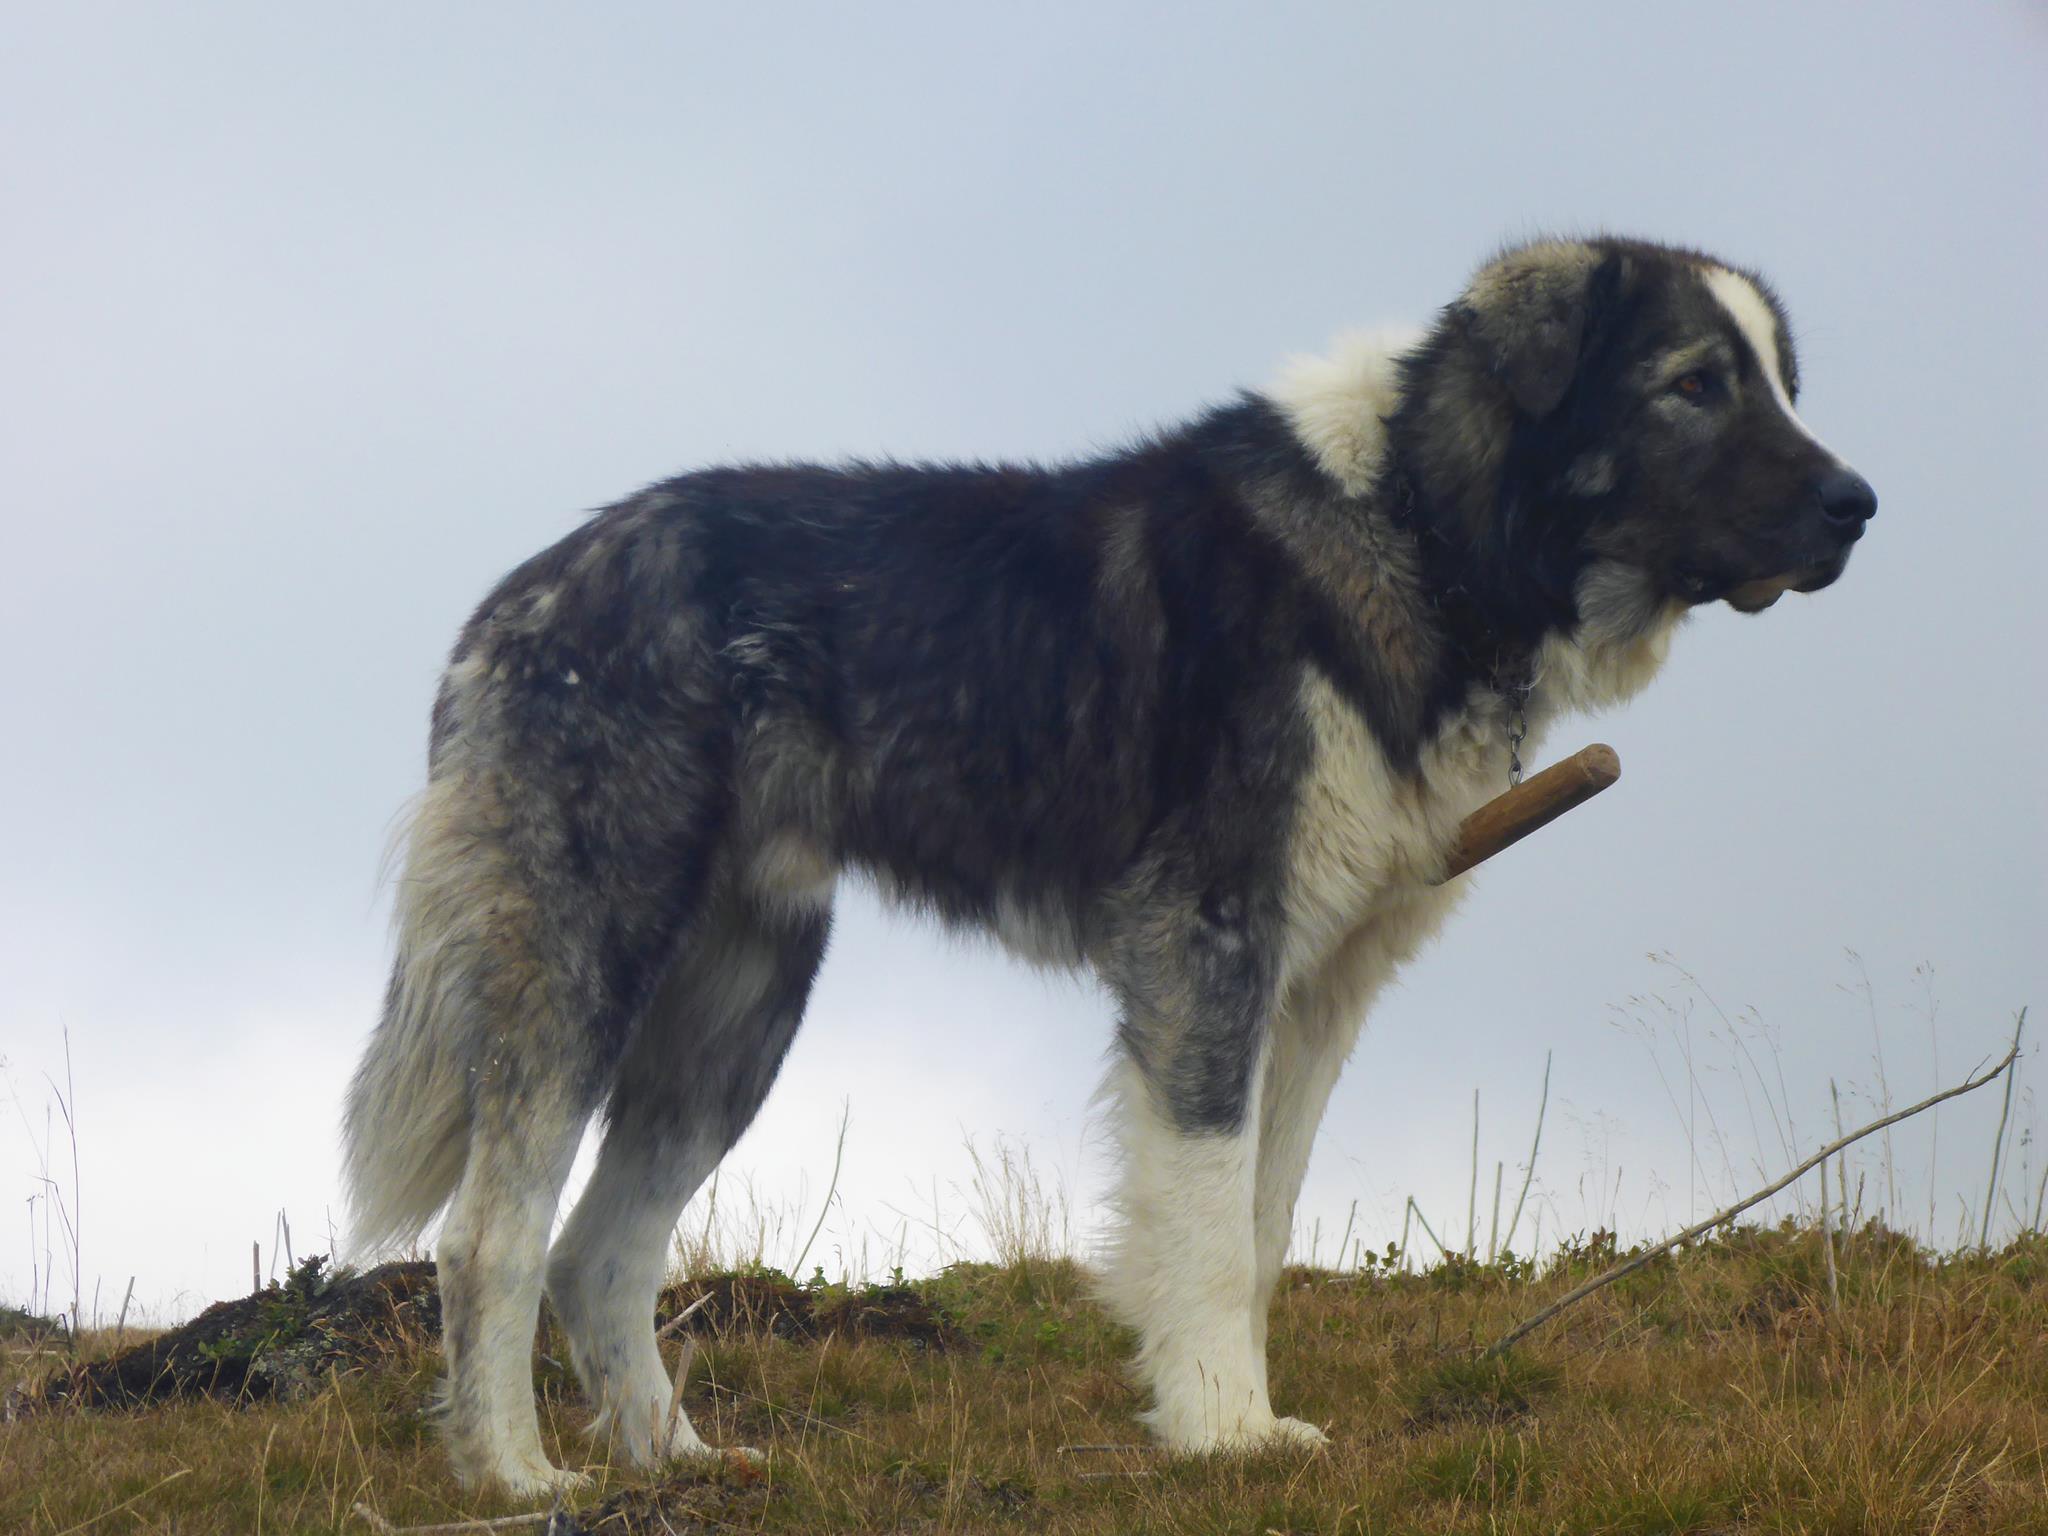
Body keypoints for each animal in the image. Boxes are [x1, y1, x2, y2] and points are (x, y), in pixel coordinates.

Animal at [348, 234, 1875, 1499]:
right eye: (1694, 384)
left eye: (1780, 385)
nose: (1859, 504)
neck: (1419, 526)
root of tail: (523, 595)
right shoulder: (1206, 947)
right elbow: (1201, 1218)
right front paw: (1216, 1432)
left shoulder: (1314, 994)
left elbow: (1257, 1226)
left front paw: (1240, 1416)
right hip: (589, 960)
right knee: (492, 1237)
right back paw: (515, 1477)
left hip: (735, 1006)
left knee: (600, 1246)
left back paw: (677, 1461)